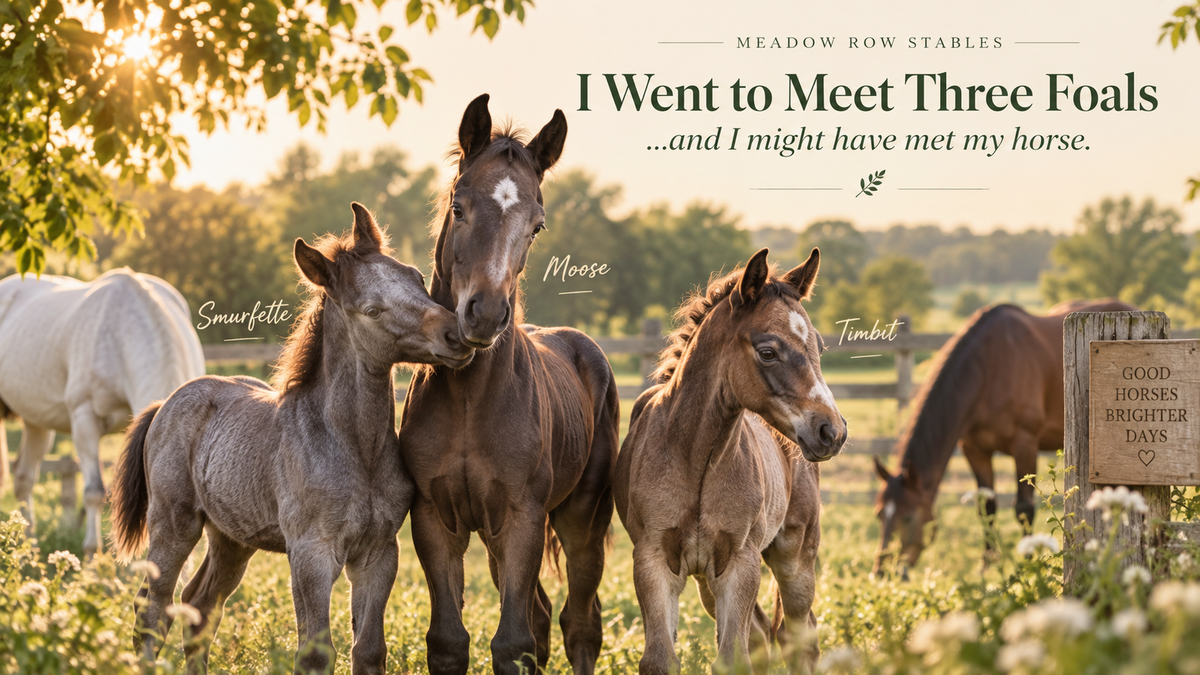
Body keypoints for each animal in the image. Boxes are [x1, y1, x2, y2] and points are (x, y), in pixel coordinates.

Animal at [0, 267, 205, 557]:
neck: (122, 337)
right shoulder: (85, 421)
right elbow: (94, 492)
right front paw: (90, 555)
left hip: (35, 421)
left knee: (24, 478)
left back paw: (30, 549)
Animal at [108, 204, 474, 675]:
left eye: (415, 276)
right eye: (372, 310)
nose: (456, 335)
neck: (354, 449)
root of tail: (165, 403)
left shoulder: (378, 554)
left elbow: (369, 649)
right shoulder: (310, 555)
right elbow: (315, 651)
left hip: (231, 538)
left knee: (199, 605)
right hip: (173, 525)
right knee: (152, 611)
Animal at [397, 94, 619, 675]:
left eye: (537, 225)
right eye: (459, 207)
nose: (485, 314)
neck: (470, 398)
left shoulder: (523, 519)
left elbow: (512, 643)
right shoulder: (435, 520)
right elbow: (450, 640)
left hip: (582, 520)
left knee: (579, 623)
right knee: (541, 616)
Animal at [615, 248, 848, 675]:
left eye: (819, 348)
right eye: (768, 351)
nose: (832, 431)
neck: (696, 458)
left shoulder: (741, 563)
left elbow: (733, 658)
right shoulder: (653, 560)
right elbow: (660, 658)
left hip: (795, 559)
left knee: (798, 637)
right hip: (708, 582)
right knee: (762, 633)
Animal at [871, 299, 1137, 576]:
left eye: (909, 516)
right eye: (879, 514)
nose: (882, 571)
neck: (989, 370)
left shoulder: (1025, 445)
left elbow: (1024, 508)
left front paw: (1030, 565)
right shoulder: (974, 449)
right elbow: (986, 508)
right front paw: (986, 568)